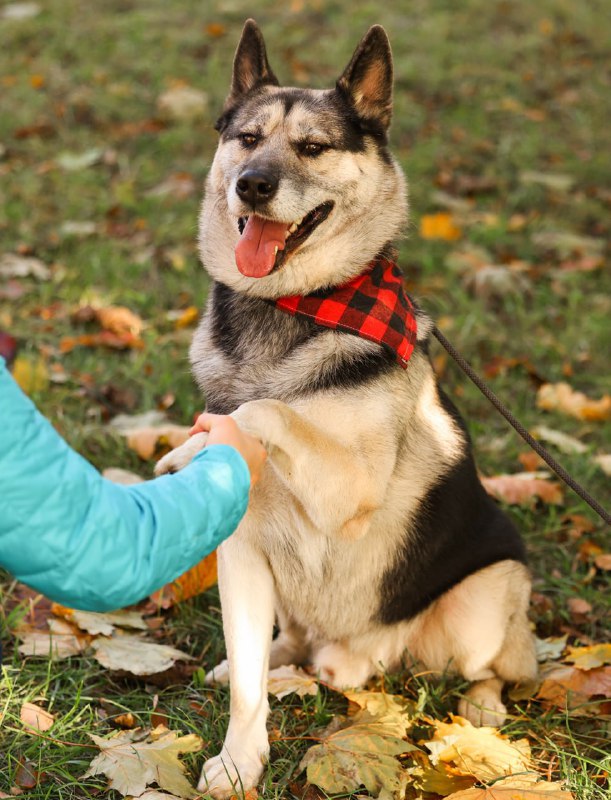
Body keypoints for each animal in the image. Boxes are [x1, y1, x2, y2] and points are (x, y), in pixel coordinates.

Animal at [155, 20, 536, 800]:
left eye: (312, 147)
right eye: (246, 137)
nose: (252, 184)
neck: (293, 306)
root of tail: (362, 657)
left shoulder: (348, 490)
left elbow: (266, 412)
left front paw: (197, 444)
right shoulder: (242, 554)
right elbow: (246, 687)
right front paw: (239, 759)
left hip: (485, 601)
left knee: (498, 668)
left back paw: (483, 710)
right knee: (287, 646)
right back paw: (279, 662)